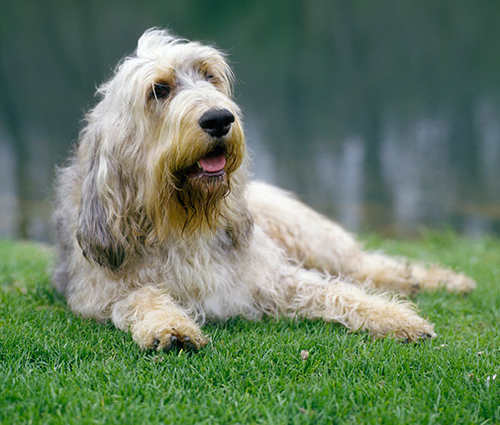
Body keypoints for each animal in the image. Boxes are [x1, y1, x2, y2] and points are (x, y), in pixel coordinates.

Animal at [52, 28, 474, 350]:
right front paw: (170, 327)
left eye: (209, 75)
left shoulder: (272, 278)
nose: (219, 118)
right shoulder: (98, 293)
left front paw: (395, 316)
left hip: (310, 236)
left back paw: (438, 280)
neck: (182, 219)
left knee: (366, 265)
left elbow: (338, 291)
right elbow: (139, 296)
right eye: (159, 89)